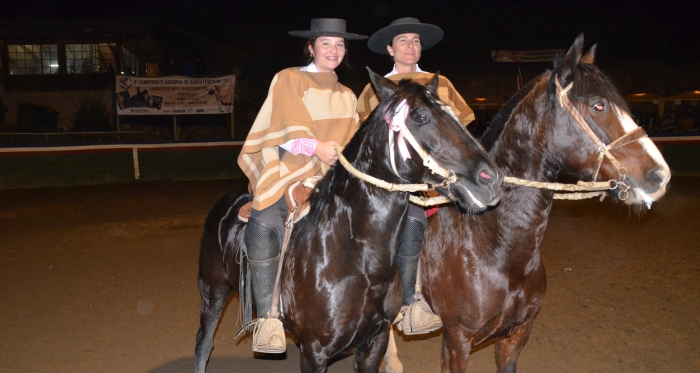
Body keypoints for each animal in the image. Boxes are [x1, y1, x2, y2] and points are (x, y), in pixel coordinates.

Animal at [194, 70, 504, 372]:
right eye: (421, 117)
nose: (490, 179)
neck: (355, 259)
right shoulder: (313, 352)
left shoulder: (374, 342)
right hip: (213, 292)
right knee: (203, 344)